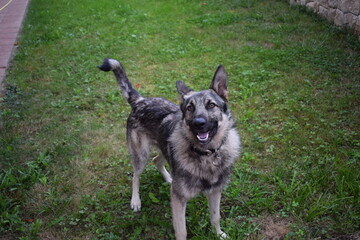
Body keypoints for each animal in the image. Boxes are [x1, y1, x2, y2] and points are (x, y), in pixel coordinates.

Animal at [97, 58, 242, 240]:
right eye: (189, 108)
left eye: (211, 105)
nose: (198, 123)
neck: (206, 155)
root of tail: (140, 101)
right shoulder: (178, 200)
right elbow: (181, 230)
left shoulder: (215, 191)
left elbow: (215, 216)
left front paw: (219, 234)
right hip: (141, 155)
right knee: (136, 176)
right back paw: (136, 200)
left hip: (164, 149)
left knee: (156, 160)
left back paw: (168, 178)